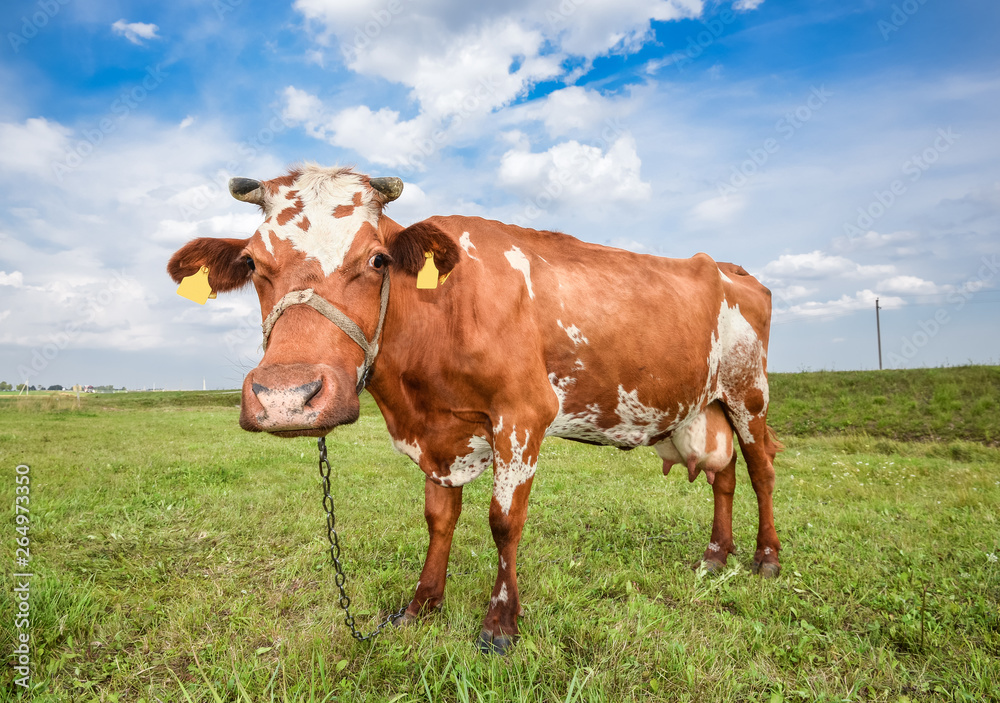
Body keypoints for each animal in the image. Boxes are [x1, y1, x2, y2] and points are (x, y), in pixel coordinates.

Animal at [170, 165, 780, 656]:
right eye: (253, 262)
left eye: (377, 259)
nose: (286, 398)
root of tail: (728, 267)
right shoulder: (440, 436)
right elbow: (439, 518)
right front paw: (422, 605)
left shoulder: (523, 415)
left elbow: (504, 521)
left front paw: (501, 624)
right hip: (707, 407)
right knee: (724, 475)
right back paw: (715, 555)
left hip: (748, 393)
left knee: (761, 469)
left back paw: (766, 558)